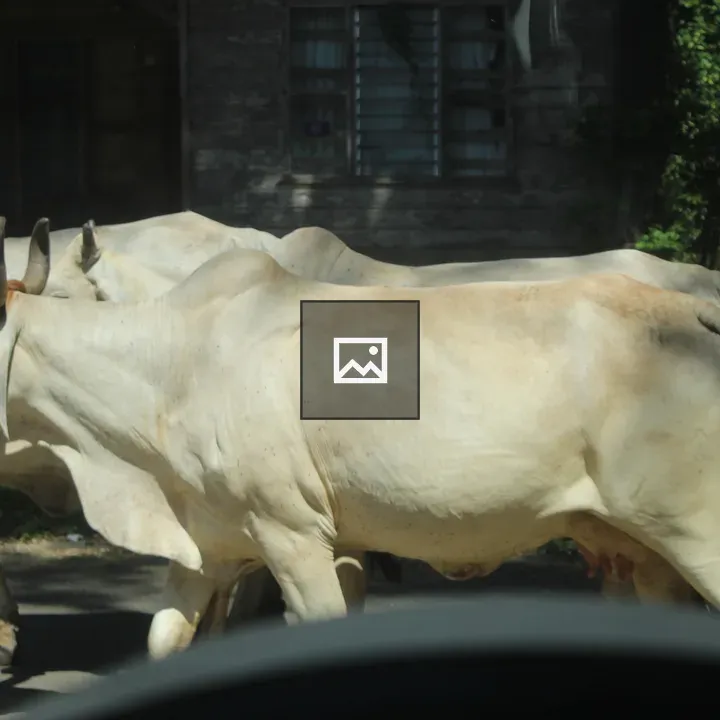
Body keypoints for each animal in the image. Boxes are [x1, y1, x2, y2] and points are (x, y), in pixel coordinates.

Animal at [4, 220, 720, 663]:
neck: (172, 365)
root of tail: (694, 308)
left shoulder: (295, 536)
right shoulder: (210, 543)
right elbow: (166, 640)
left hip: (694, 529)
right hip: (642, 551)